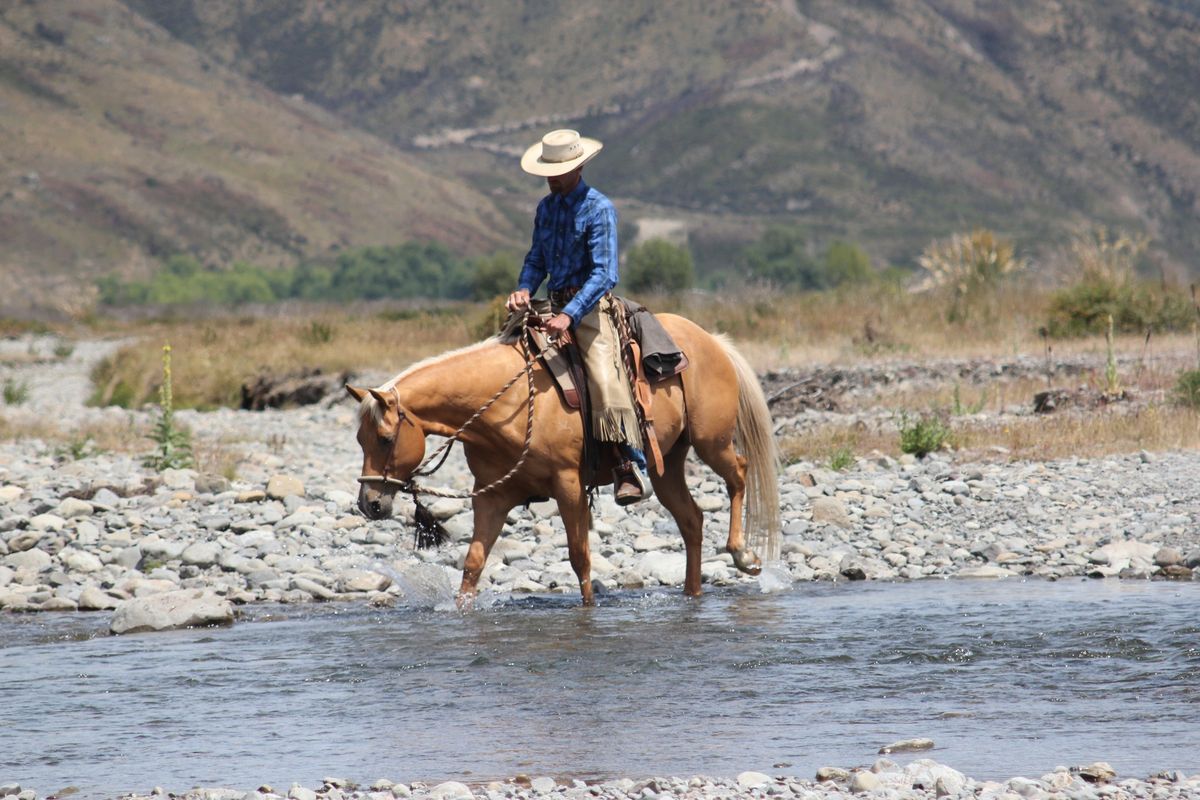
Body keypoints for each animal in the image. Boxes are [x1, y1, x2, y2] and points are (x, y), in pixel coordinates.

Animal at [348, 311, 777, 606]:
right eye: (359, 439)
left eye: (385, 439)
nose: (369, 504)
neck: (508, 401)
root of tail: (712, 341)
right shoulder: (492, 496)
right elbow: (473, 563)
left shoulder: (569, 485)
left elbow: (580, 557)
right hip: (668, 464)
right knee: (691, 520)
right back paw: (693, 593)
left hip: (711, 442)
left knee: (739, 475)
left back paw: (744, 555)